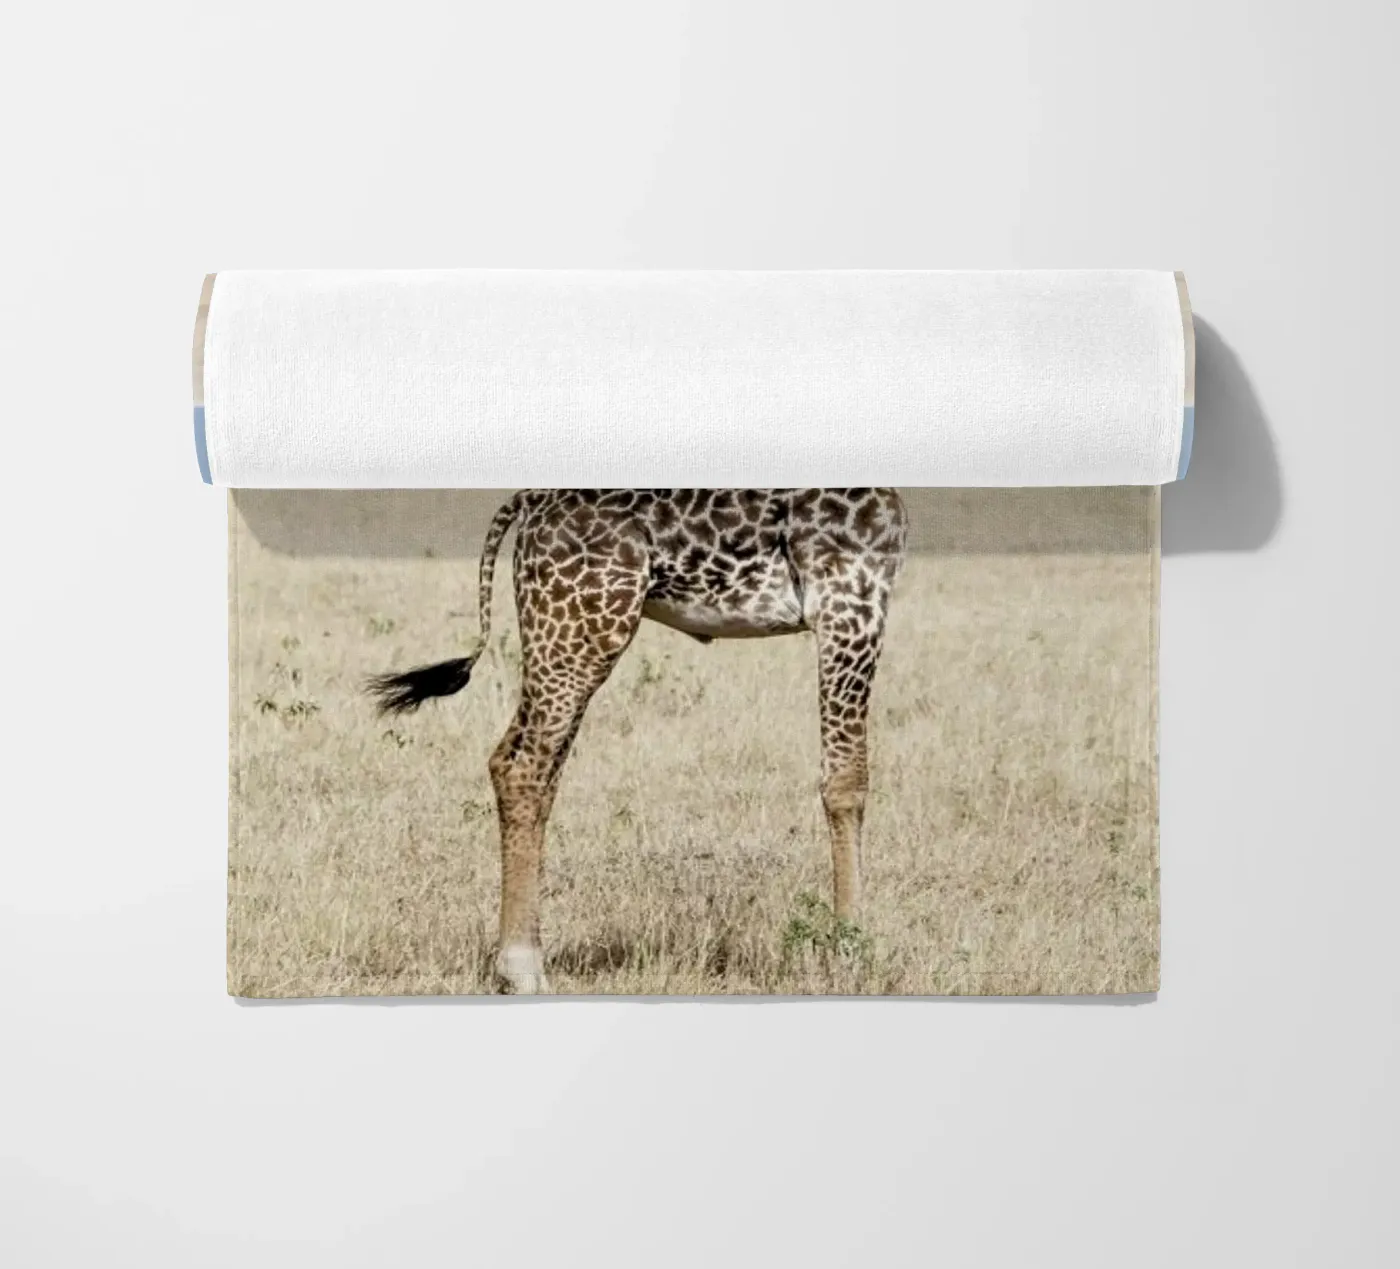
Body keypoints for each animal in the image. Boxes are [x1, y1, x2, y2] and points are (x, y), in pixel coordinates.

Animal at [368, 489, 907, 993]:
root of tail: (530, 502)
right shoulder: (850, 602)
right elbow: (847, 782)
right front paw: (849, 954)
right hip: (582, 631)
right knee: (522, 766)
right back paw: (522, 968)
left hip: (565, 634)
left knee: (532, 769)